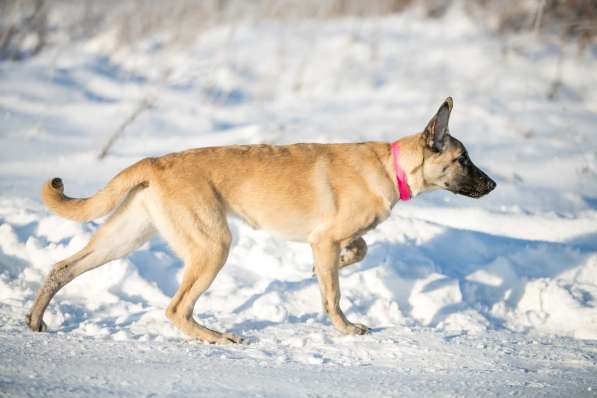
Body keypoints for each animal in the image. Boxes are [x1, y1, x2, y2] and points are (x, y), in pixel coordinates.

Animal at [26, 98, 494, 344]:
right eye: (463, 159)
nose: (492, 185)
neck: (391, 166)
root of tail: (154, 162)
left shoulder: (328, 240)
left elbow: (358, 250)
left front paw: (333, 266)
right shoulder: (324, 238)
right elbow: (334, 295)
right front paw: (345, 327)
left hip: (125, 237)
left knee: (62, 268)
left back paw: (34, 320)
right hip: (212, 246)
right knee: (176, 308)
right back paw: (217, 337)